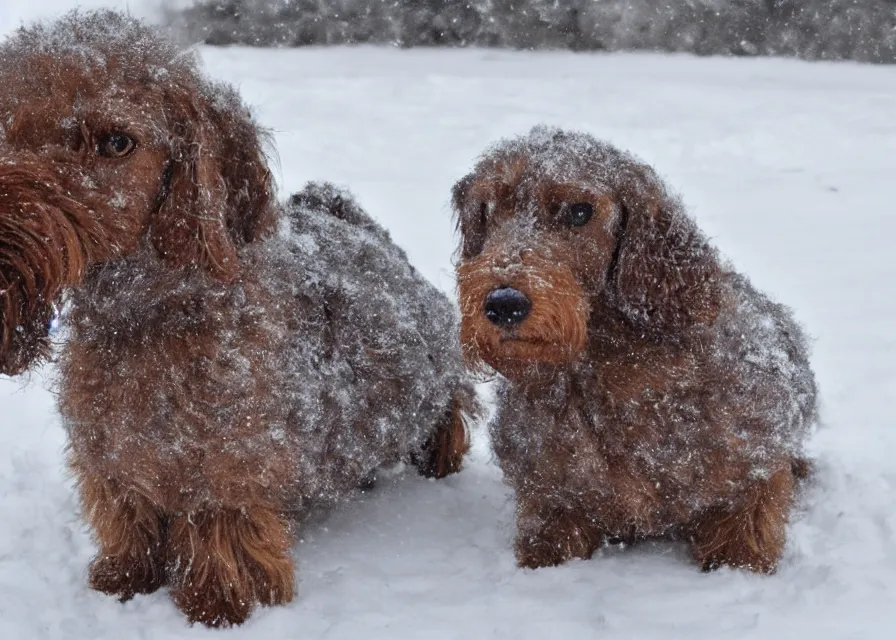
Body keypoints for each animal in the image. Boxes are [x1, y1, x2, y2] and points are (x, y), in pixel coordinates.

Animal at [0, 12, 476, 628]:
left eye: (116, 142)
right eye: (8, 126)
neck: (141, 318)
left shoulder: (233, 456)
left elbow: (218, 526)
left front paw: (217, 603)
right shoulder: (108, 453)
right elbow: (127, 516)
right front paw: (122, 581)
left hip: (436, 383)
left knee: (452, 410)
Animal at [456, 126, 820, 576]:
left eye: (580, 211)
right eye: (488, 208)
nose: (503, 304)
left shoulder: (754, 473)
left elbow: (746, 531)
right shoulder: (550, 504)